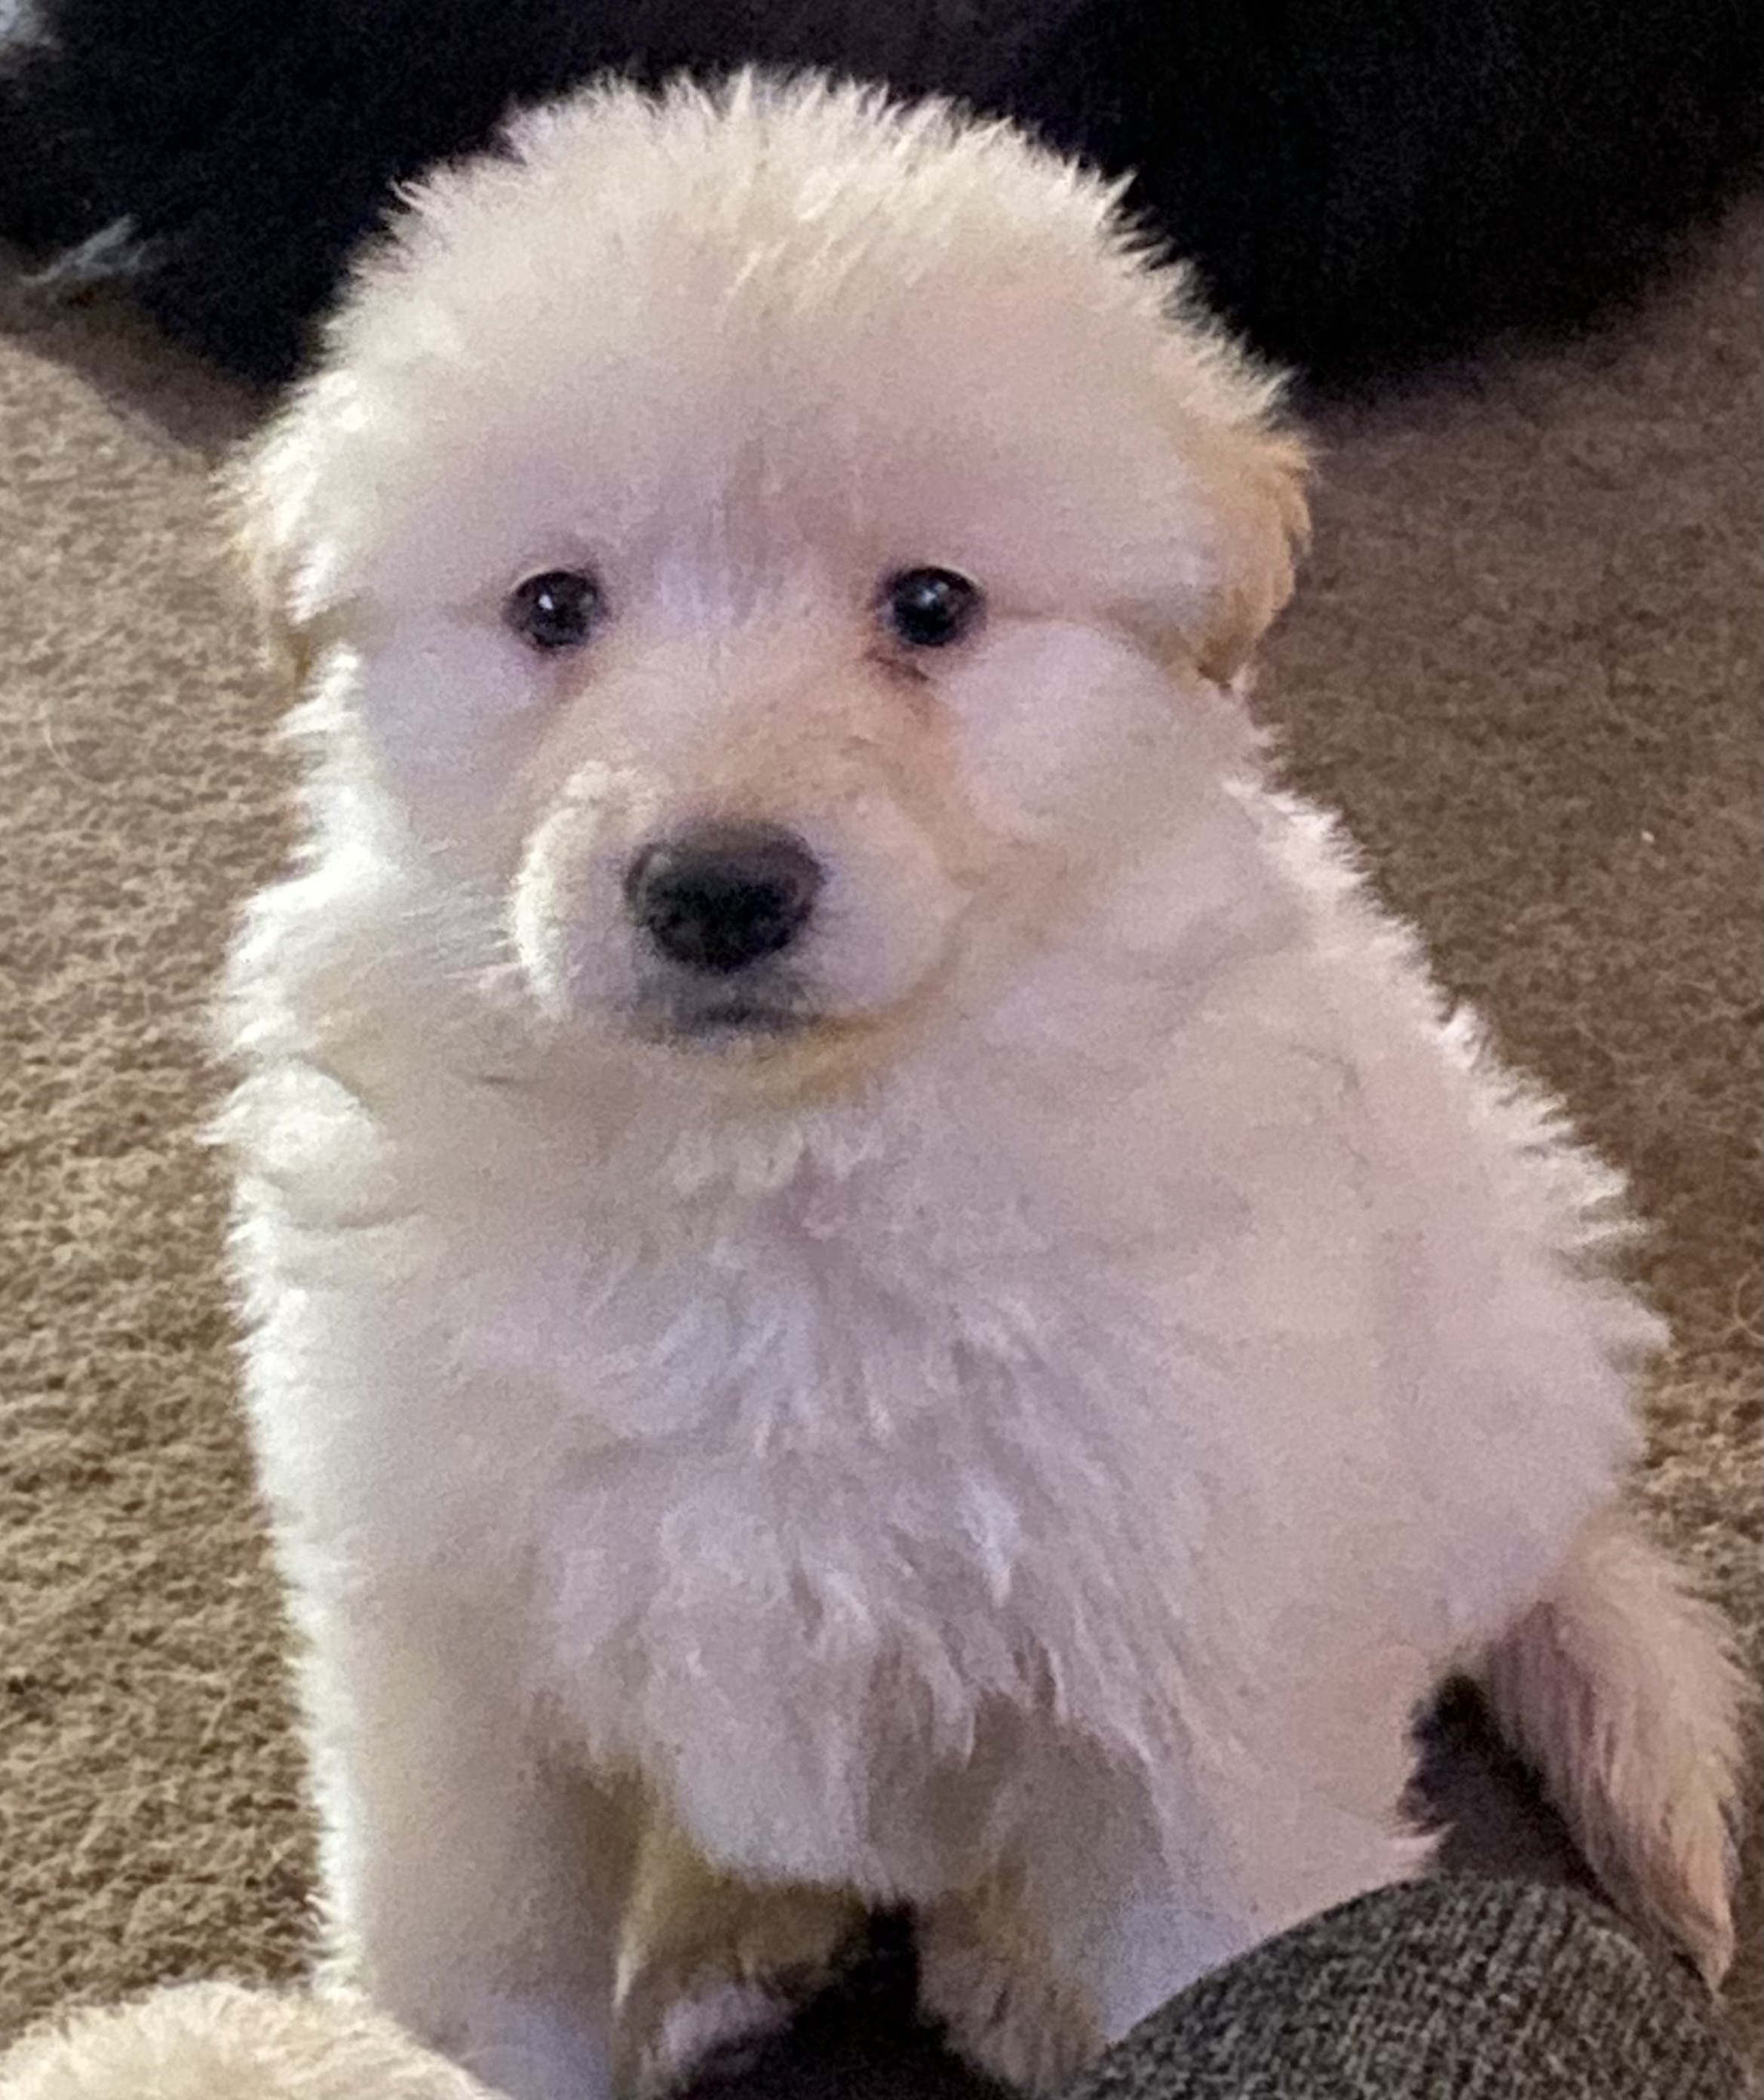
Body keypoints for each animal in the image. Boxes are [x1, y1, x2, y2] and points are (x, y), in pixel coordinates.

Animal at [218, 73, 1745, 2100]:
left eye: (931, 608)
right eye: (552, 606)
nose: (716, 888)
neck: (780, 1167)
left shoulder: (1204, 1691)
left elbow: (1214, 1934)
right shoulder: (455, 1668)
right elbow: (473, 1991)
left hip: (1489, 1364)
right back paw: (716, 1931)